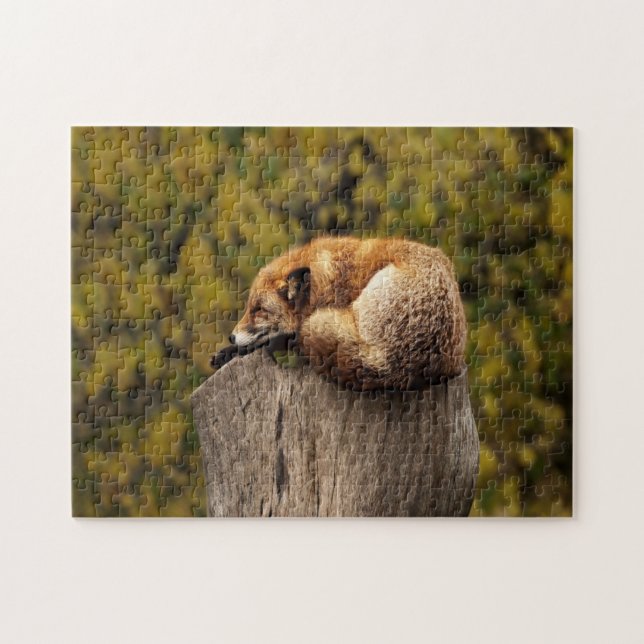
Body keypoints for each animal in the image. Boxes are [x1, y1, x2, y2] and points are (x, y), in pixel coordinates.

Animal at [211, 236, 467, 390]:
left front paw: (233, 351)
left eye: (259, 310)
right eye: (249, 308)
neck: (330, 281)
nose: (231, 337)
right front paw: (226, 352)